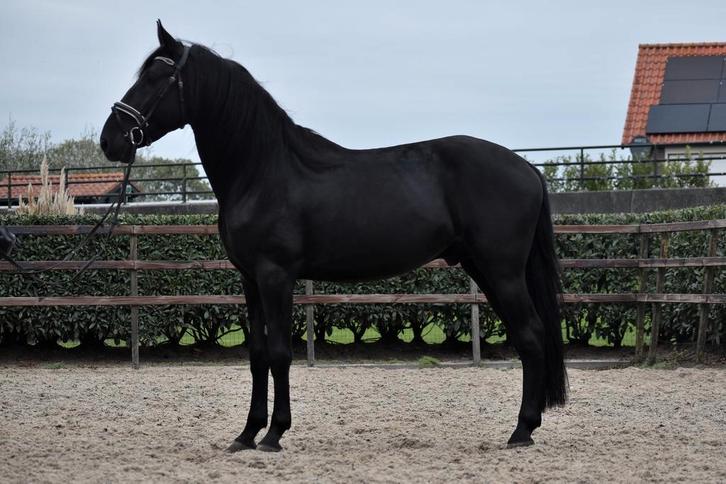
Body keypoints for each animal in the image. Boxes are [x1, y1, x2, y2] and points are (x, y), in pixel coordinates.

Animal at [100, 21, 567, 452]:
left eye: (156, 76)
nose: (111, 139)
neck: (262, 170)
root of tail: (527, 168)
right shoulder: (250, 280)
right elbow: (257, 356)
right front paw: (247, 434)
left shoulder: (276, 276)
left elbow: (280, 353)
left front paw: (273, 435)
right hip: (484, 269)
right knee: (528, 335)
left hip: (502, 271)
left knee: (530, 334)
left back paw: (521, 431)